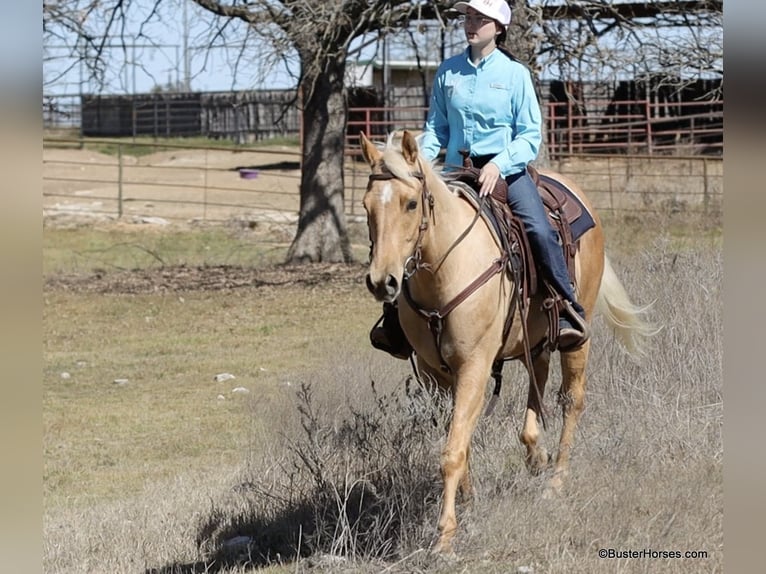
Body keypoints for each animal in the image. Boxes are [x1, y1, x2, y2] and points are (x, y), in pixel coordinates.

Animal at [360, 130, 655, 554]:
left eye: (411, 203)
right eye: (366, 206)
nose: (382, 281)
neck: (446, 269)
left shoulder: (474, 368)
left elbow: (452, 451)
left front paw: (445, 535)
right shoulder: (435, 375)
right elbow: (459, 441)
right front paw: (468, 502)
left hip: (578, 335)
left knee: (572, 400)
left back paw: (556, 481)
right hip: (537, 337)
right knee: (538, 382)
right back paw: (536, 455)